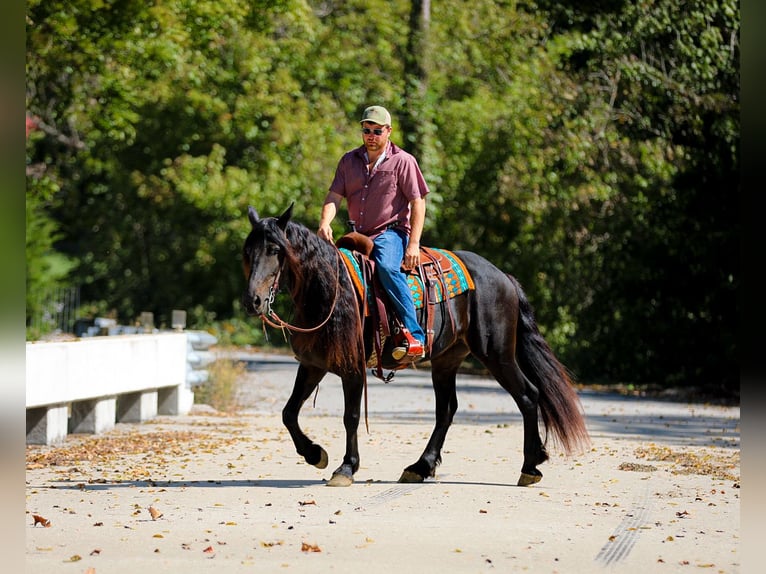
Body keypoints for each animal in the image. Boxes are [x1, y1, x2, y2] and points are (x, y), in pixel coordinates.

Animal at [242, 204, 590, 487]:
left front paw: (346, 467)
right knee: (446, 410)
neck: (331, 289)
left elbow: (350, 416)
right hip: (447, 360)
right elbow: (289, 412)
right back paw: (421, 467)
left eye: (275, 249)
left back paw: (529, 467)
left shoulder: (353, 369)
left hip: (497, 354)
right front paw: (315, 454)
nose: (252, 301)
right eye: (247, 251)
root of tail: (504, 277)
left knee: (528, 395)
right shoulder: (314, 364)